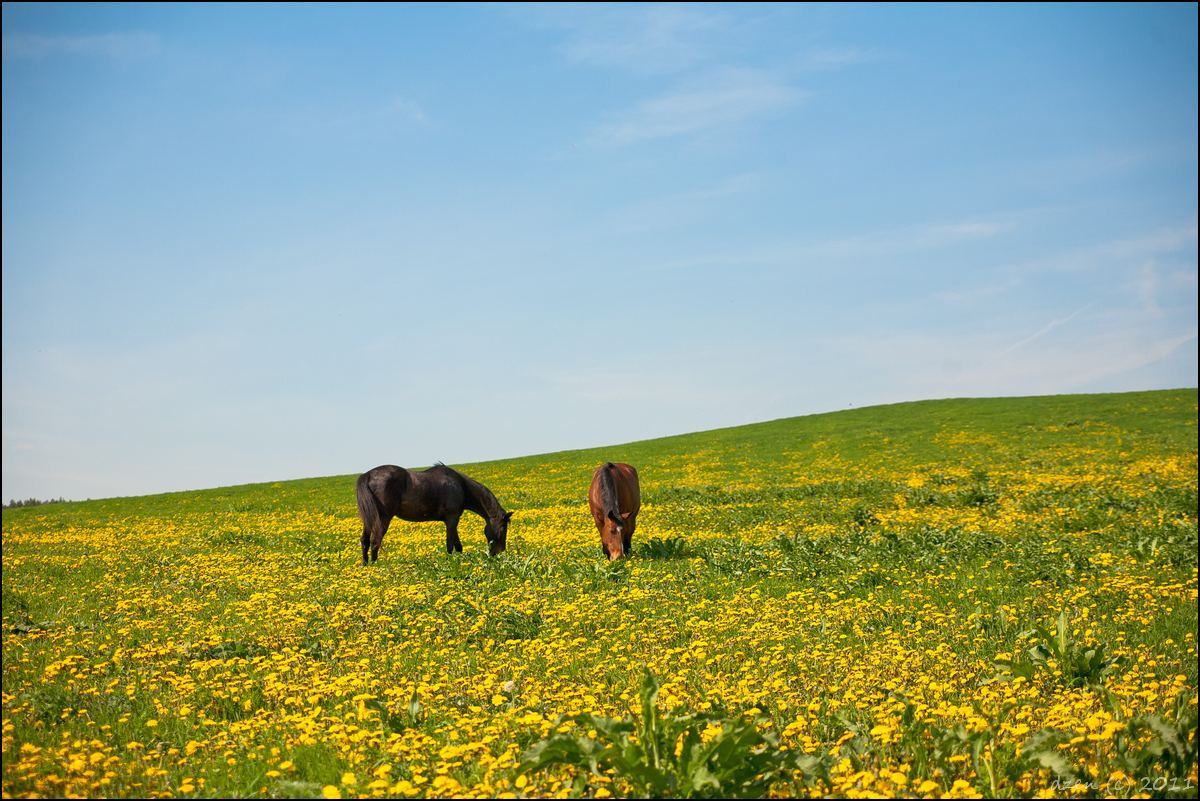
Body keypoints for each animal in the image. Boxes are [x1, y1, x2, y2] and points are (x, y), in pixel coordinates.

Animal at [350, 460, 511, 565]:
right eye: (503, 528)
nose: (499, 552)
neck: (461, 486)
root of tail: (367, 475)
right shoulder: (452, 518)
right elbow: (450, 545)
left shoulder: (452, 519)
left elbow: (458, 545)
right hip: (383, 518)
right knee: (375, 542)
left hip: (369, 519)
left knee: (365, 540)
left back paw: (366, 565)